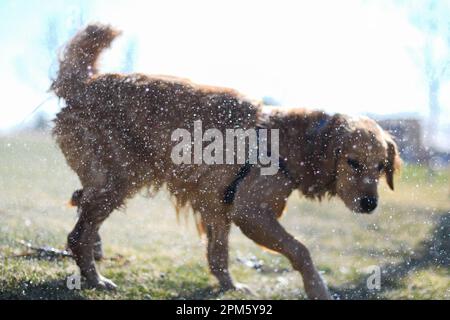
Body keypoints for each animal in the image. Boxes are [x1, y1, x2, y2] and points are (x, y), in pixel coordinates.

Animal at [50, 25, 400, 300]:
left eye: (380, 166)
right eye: (352, 162)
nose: (370, 204)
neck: (290, 142)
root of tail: (84, 85)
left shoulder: (219, 207)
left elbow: (218, 254)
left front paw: (229, 286)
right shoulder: (250, 212)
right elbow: (301, 249)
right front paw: (318, 289)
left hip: (112, 179)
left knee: (81, 201)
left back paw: (95, 251)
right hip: (120, 178)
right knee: (77, 233)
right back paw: (95, 278)